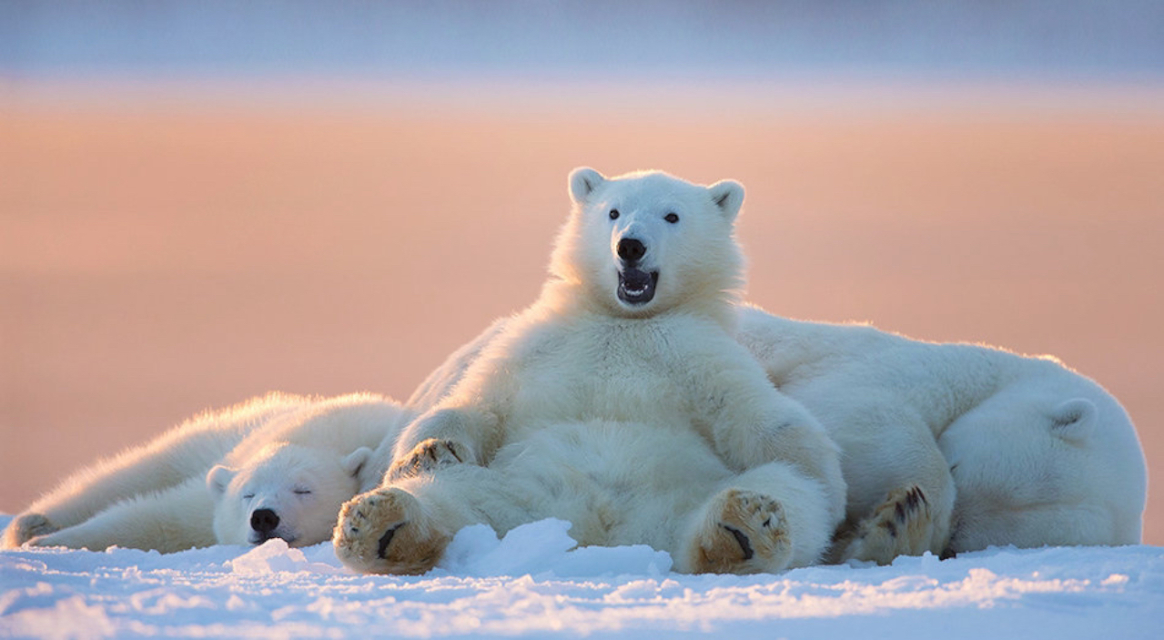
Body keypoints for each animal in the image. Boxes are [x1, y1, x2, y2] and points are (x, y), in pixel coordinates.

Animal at [335, 167, 847, 579]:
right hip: (512, 491)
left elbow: (761, 419)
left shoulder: (697, 351)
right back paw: (379, 522)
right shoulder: (542, 342)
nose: (630, 246)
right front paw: (428, 449)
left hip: (686, 494)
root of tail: (602, 529)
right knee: (451, 494)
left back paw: (743, 527)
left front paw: (832, 487)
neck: (625, 321)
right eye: (613, 211)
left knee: (784, 491)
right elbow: (479, 402)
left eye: (672, 216)